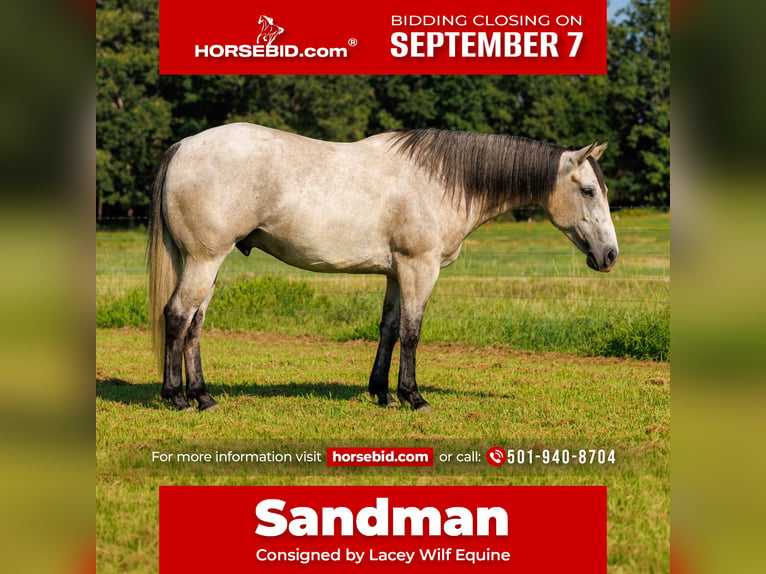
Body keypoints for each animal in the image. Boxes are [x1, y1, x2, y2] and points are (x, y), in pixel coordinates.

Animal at [148, 124, 618, 412]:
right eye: (589, 191)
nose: (610, 255)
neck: (440, 181)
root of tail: (183, 146)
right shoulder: (419, 268)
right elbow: (412, 333)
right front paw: (413, 397)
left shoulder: (395, 273)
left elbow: (389, 330)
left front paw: (382, 394)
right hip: (205, 260)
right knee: (177, 316)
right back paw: (177, 398)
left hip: (206, 263)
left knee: (194, 324)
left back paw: (203, 396)